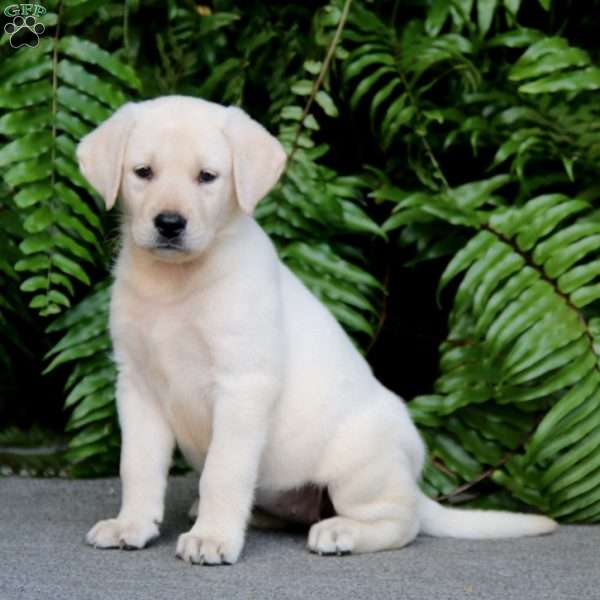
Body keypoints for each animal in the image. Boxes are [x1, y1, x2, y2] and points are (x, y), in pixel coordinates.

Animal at [76, 96, 556, 564]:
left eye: (207, 177)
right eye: (143, 172)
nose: (169, 224)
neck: (176, 282)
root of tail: (413, 483)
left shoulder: (243, 384)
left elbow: (223, 471)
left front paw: (212, 538)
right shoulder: (137, 386)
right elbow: (137, 466)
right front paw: (131, 525)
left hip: (359, 467)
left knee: (402, 523)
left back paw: (341, 531)